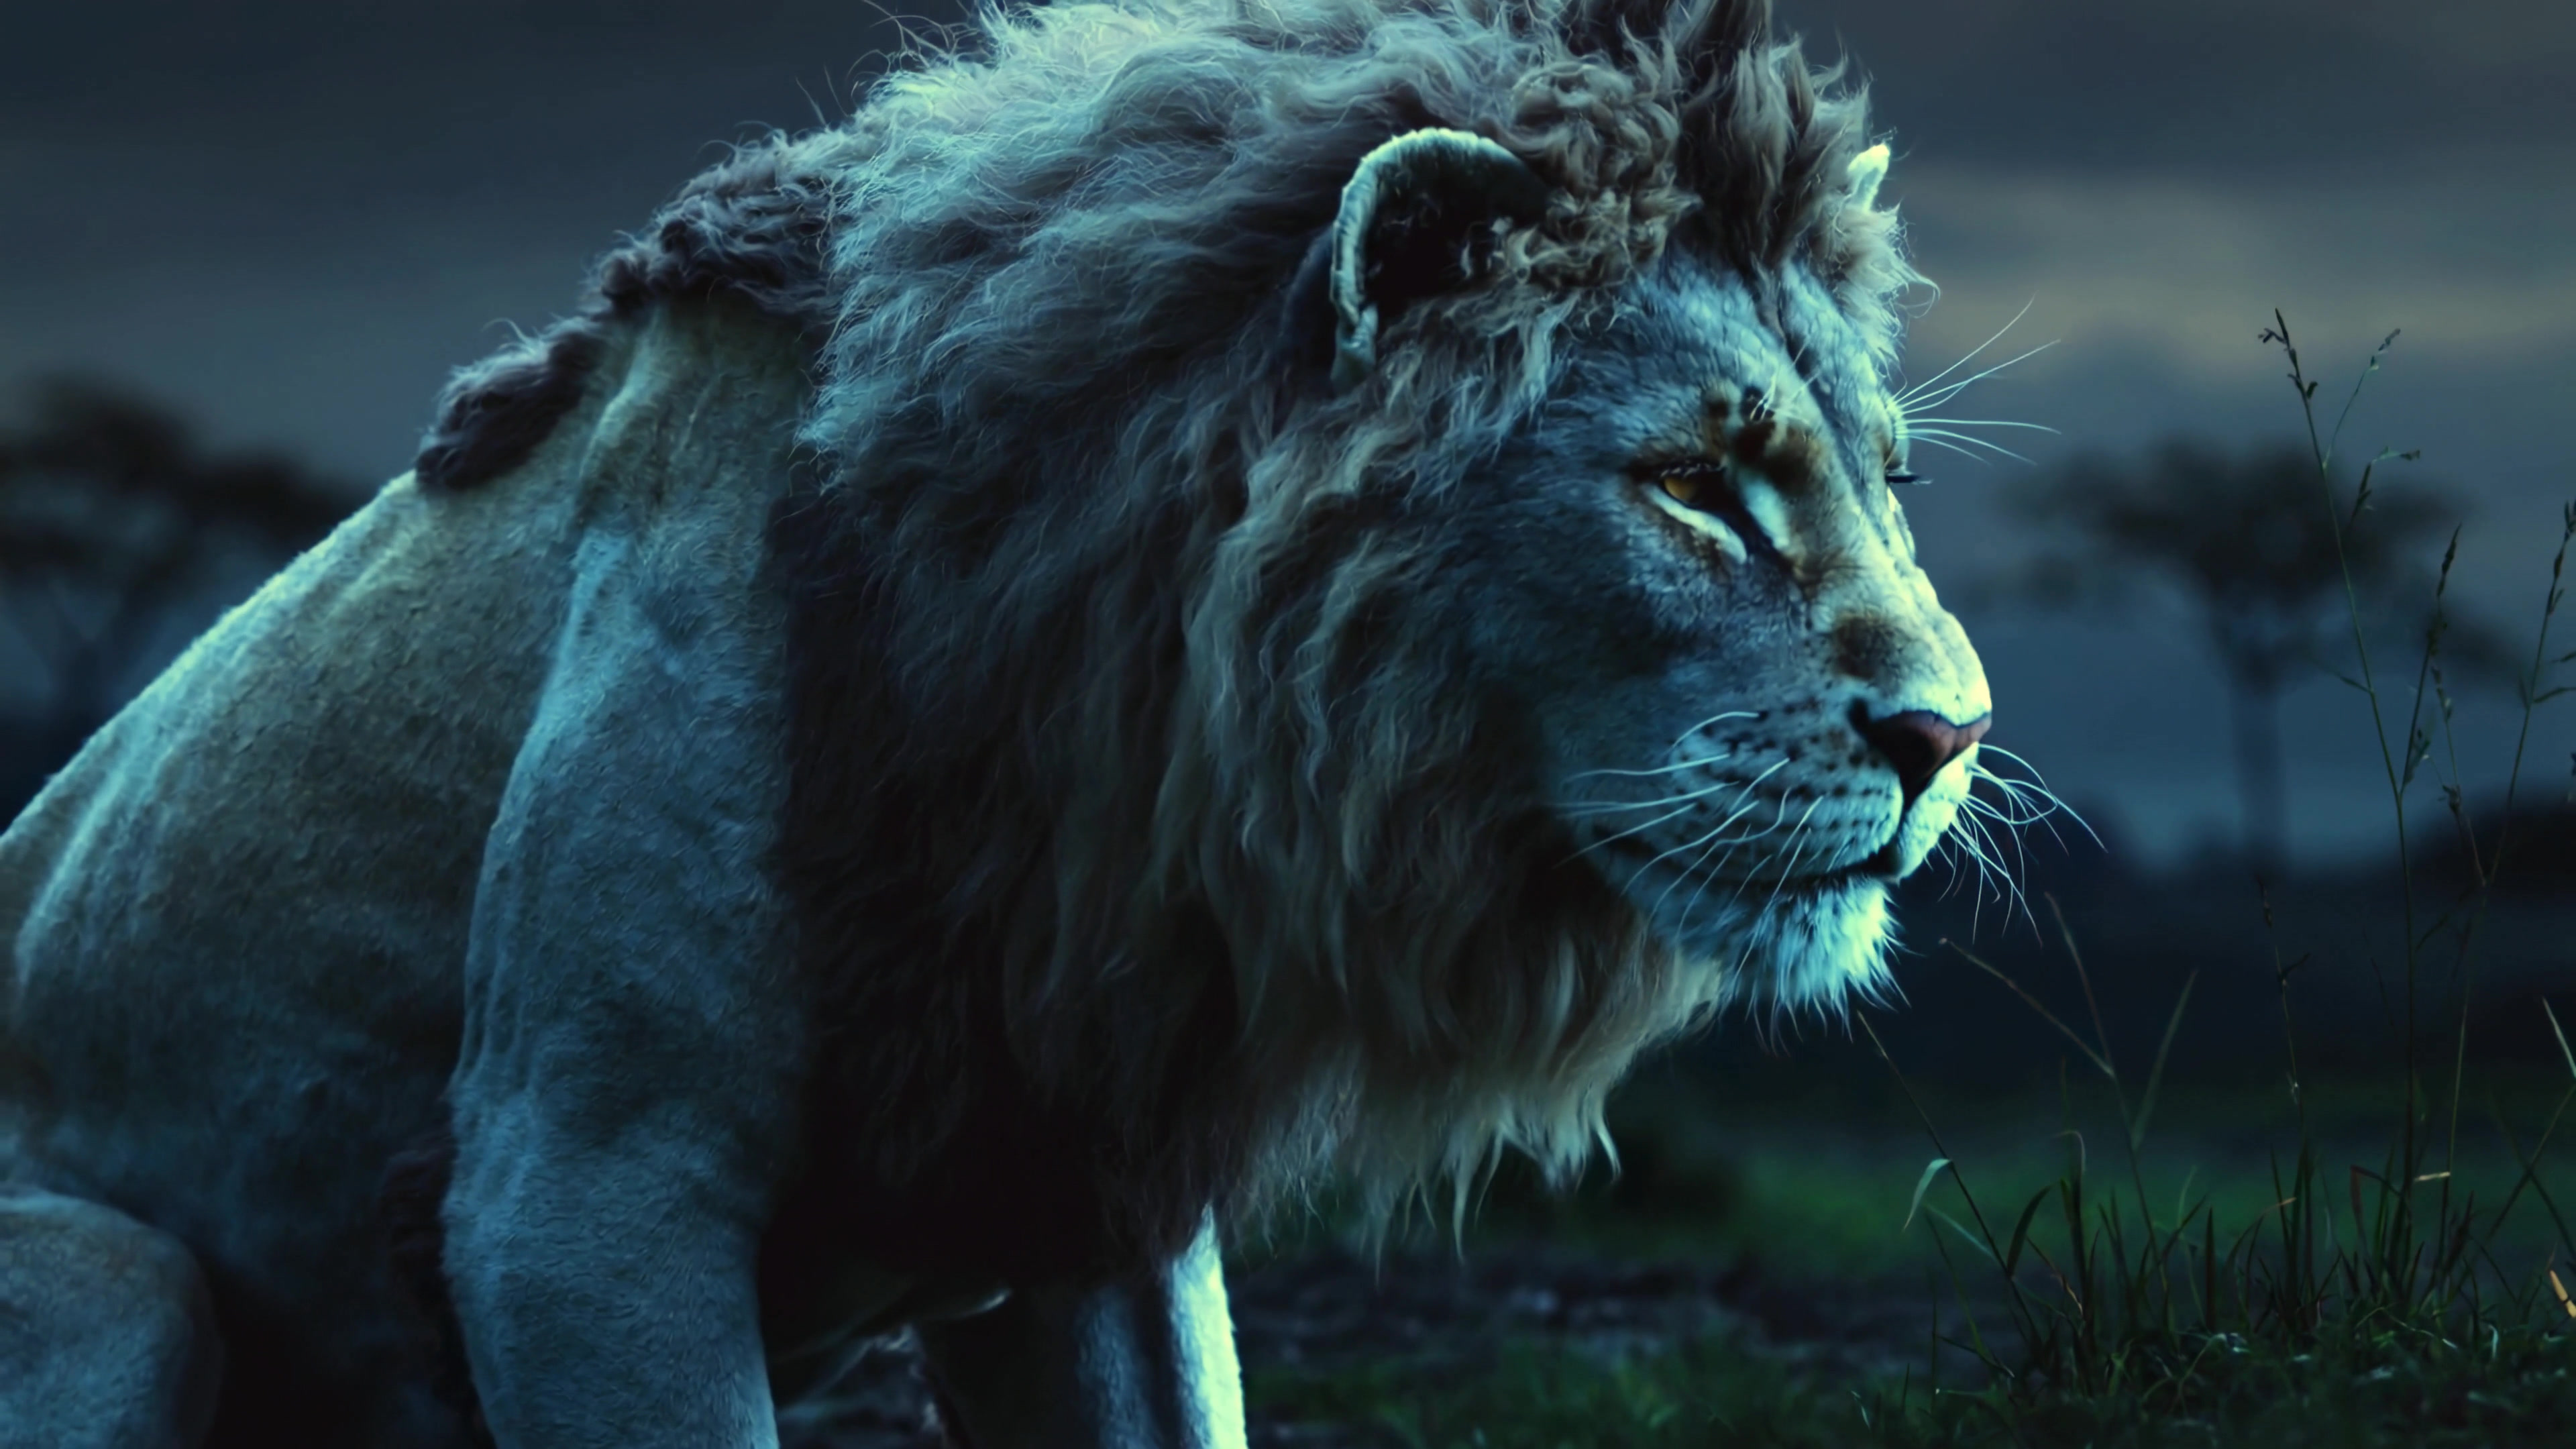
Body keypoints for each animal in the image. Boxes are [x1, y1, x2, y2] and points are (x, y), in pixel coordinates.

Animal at [0, 0, 1991, 1443]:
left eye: (1889, 481)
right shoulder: (579, 1188)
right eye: (1692, 484)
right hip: (124, 1280)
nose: (1951, 737)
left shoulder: (1092, 1200)